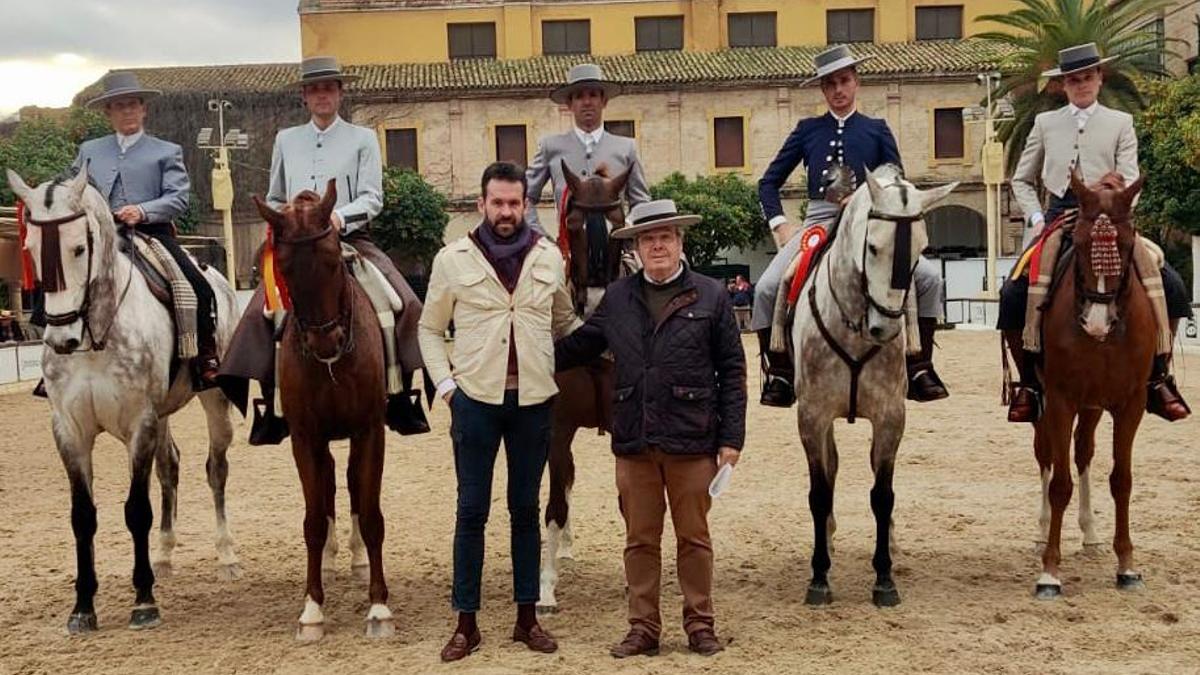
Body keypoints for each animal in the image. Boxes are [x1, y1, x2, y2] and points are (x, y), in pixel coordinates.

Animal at [7, 166, 241, 629]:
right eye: (30, 249)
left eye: (79, 248)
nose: (61, 338)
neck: (96, 335)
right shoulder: (70, 431)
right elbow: (83, 516)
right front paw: (83, 607)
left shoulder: (140, 424)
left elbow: (137, 510)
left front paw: (144, 601)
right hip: (165, 413)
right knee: (170, 468)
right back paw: (164, 558)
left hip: (214, 400)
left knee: (216, 470)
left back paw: (225, 556)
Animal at [252, 178, 393, 634]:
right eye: (285, 267)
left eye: (333, 260)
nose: (325, 342)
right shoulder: (305, 437)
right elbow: (313, 520)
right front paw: (312, 607)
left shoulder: (369, 430)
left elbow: (370, 513)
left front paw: (379, 606)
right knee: (330, 483)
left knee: (349, 485)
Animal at [1032, 170, 1152, 595]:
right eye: (1081, 243)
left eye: (1127, 243)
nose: (1097, 323)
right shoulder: (1060, 399)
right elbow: (1060, 483)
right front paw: (1050, 571)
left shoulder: (1130, 403)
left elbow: (1122, 480)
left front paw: (1127, 565)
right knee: (1047, 456)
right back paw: (1043, 531)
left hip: (1094, 405)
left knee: (1083, 452)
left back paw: (1090, 533)